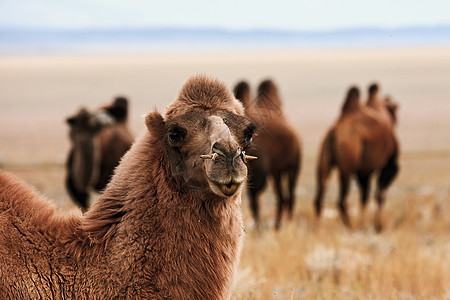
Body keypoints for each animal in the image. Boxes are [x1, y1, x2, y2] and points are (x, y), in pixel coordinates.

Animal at [234, 79, 300, 230]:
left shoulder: (260, 168)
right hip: (277, 171)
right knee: (281, 196)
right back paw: (277, 224)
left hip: (293, 166)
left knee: (290, 194)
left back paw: (287, 222)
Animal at [314, 85, 400, 231]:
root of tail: (334, 132)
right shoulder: (388, 165)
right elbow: (378, 195)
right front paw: (377, 226)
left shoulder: (363, 171)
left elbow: (364, 196)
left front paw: (365, 225)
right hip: (346, 166)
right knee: (341, 200)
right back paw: (349, 225)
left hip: (323, 158)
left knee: (319, 197)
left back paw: (319, 229)